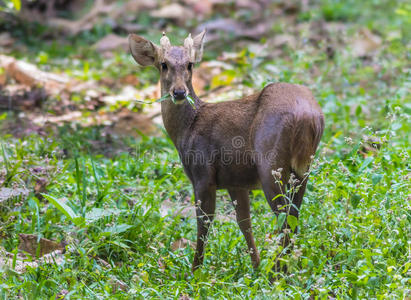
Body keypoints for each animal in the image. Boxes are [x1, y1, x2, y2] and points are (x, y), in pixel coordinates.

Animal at [129, 30, 326, 274]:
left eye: (190, 64)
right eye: (163, 64)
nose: (179, 92)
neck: (187, 128)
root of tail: (309, 117)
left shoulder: (202, 174)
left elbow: (204, 223)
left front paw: (195, 272)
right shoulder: (235, 181)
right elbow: (244, 223)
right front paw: (255, 267)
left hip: (271, 164)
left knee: (284, 219)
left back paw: (278, 272)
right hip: (303, 169)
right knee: (294, 217)